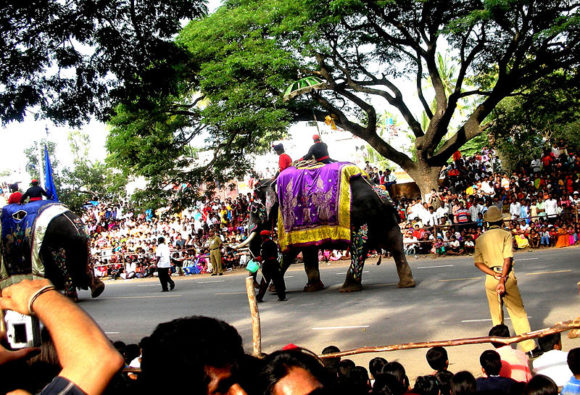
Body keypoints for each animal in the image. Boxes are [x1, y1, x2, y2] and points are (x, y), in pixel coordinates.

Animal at [237, 162, 416, 294]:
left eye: (254, 209)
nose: (255, 284)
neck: (272, 181)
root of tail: (379, 193)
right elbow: (308, 251)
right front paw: (312, 288)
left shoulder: (286, 218)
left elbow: (289, 251)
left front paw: (274, 289)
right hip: (385, 219)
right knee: (396, 243)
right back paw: (407, 284)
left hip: (360, 218)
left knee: (359, 248)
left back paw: (348, 288)